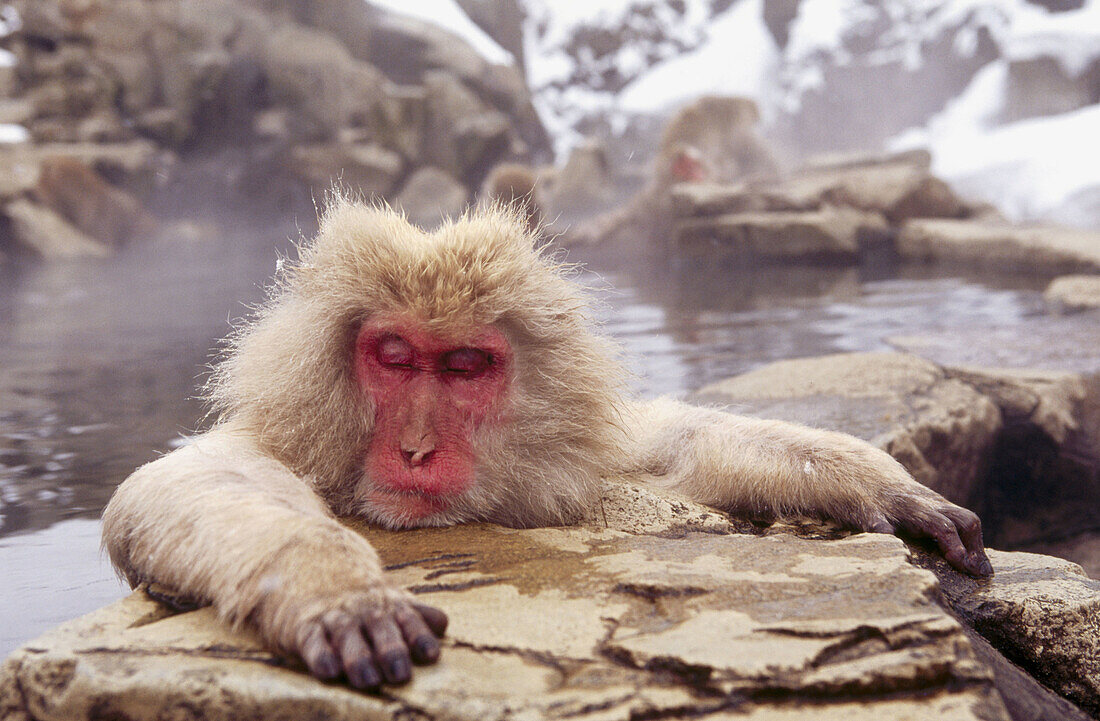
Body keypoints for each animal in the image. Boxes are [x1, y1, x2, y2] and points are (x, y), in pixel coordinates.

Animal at [105, 195, 998, 686]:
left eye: (464, 365)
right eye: (393, 357)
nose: (417, 449)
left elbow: (670, 442)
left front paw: (874, 479)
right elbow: (183, 482)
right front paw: (333, 588)